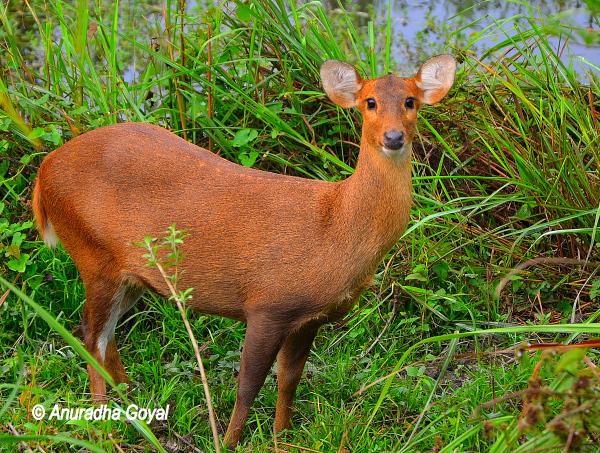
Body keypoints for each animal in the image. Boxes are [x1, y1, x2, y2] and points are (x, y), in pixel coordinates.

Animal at [31, 54, 454, 446]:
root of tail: (44, 170)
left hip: (130, 273)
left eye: (411, 100)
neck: (334, 224)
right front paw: (230, 441)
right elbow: (248, 384)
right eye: (370, 102)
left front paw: (283, 436)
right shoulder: (267, 304)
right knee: (91, 336)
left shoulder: (308, 316)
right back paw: (105, 425)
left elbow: (289, 379)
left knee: (106, 335)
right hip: (92, 253)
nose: (394, 138)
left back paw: (132, 399)